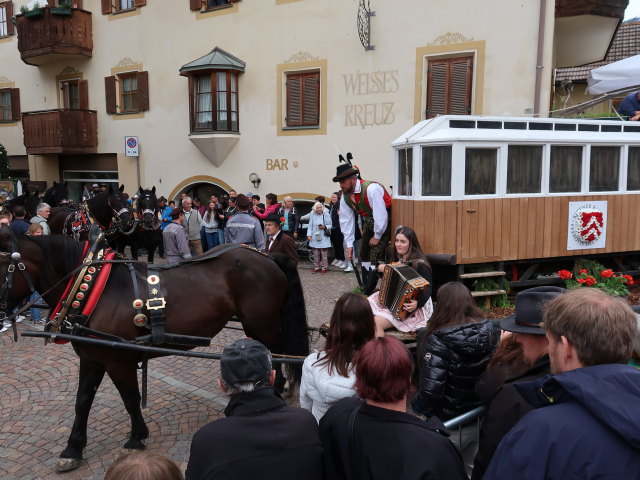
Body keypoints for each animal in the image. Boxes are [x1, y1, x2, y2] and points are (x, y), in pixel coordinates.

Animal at [0, 228, 310, 472]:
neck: (95, 292)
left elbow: (130, 398)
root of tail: (266, 256)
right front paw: (72, 449)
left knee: (275, 354)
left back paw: (276, 388)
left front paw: (136, 437)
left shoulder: (118, 360)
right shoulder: (92, 358)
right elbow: (82, 401)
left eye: (2, 265)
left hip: (261, 323)